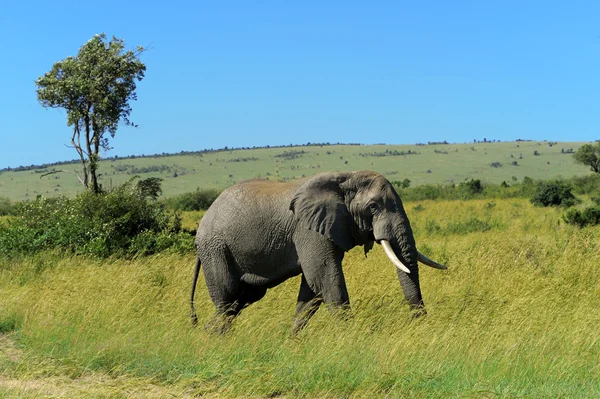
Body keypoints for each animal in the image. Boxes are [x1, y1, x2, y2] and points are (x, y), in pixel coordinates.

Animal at [190, 170, 448, 334]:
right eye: (373, 207)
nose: (419, 325)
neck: (345, 177)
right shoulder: (308, 230)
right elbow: (325, 278)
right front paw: (351, 339)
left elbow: (312, 289)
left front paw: (291, 341)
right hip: (215, 248)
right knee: (227, 296)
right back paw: (217, 340)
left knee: (242, 299)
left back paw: (209, 334)